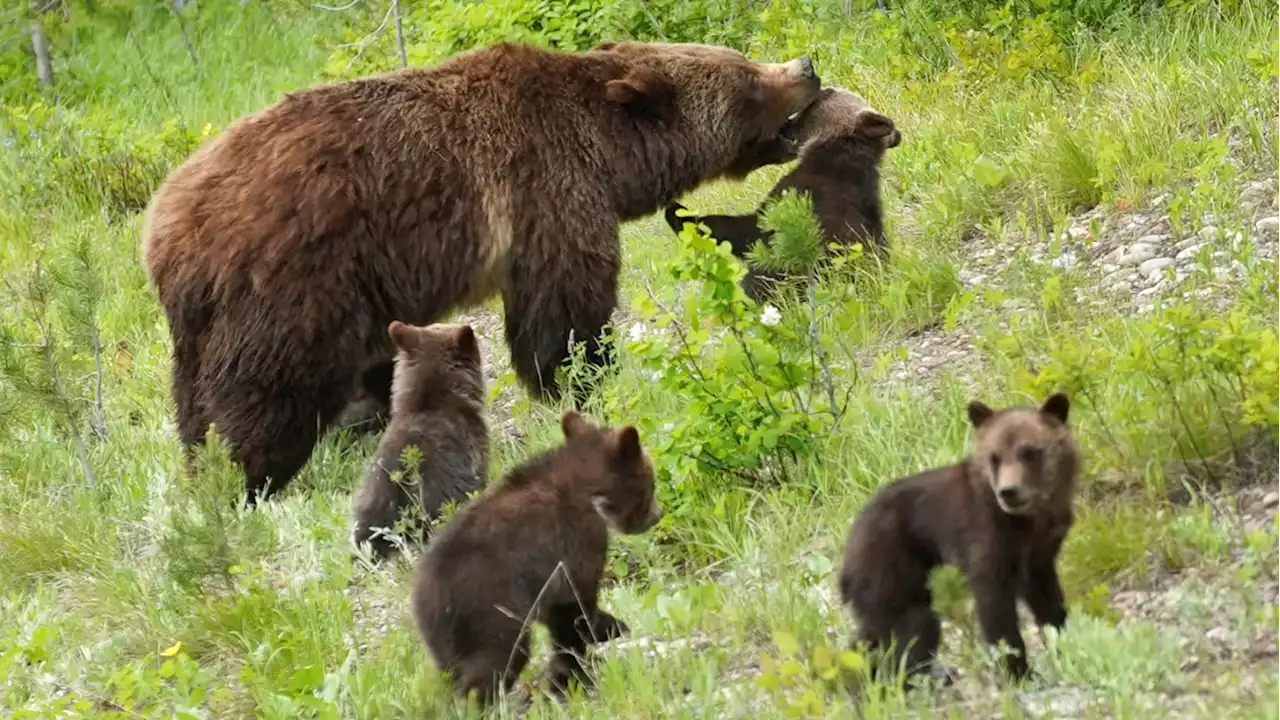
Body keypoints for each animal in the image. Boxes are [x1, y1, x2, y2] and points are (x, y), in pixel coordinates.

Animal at [140, 40, 819, 499]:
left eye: (743, 58)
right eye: (747, 79)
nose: (805, 68)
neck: (608, 151)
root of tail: (166, 232)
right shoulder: (546, 190)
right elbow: (564, 308)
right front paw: (583, 377)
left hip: (208, 324)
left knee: (197, 398)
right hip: (293, 282)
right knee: (263, 389)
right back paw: (251, 475)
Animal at [839, 392, 1080, 681]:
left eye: (1030, 452)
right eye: (995, 457)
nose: (1008, 491)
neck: (1029, 519)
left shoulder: (1041, 550)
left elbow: (1047, 600)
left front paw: (1065, 643)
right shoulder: (986, 537)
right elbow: (995, 606)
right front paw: (1017, 669)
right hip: (889, 563)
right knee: (910, 625)